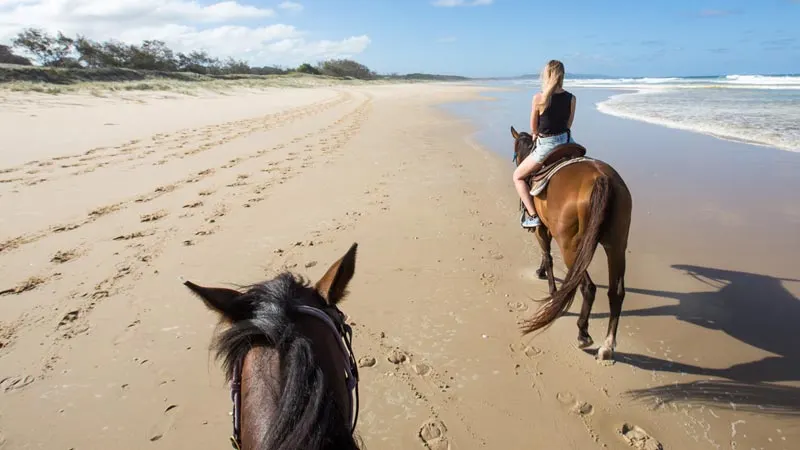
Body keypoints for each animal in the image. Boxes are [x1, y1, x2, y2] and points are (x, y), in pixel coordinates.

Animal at [512, 125, 632, 358]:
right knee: (616, 292)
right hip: (617, 246)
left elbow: (547, 256)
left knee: (588, 287)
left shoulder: (541, 228)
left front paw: (551, 289)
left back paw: (583, 333)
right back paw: (607, 346)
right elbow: (545, 256)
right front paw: (541, 272)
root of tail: (602, 178)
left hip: (570, 246)